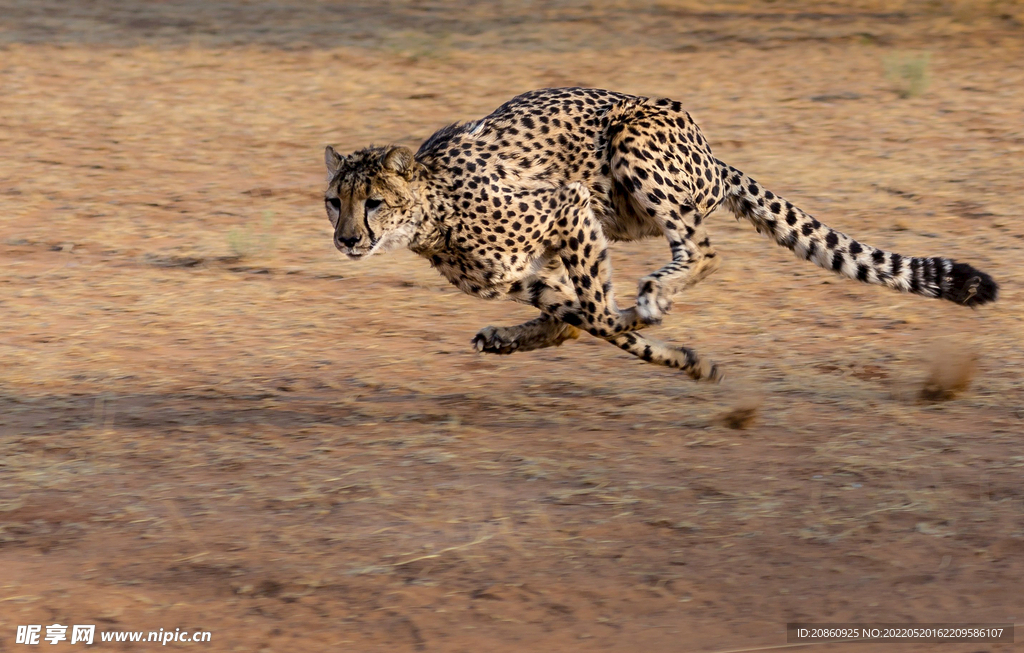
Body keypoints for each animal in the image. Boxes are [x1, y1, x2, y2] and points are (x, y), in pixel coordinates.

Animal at [325, 87, 999, 384]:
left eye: (374, 203)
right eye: (335, 202)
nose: (347, 240)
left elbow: (600, 316)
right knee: (581, 314)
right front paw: (681, 356)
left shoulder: (568, 207)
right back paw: (521, 335)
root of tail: (711, 152)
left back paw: (654, 296)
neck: (432, 214)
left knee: (701, 249)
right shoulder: (524, 273)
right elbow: (582, 319)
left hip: (632, 147)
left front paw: (669, 343)